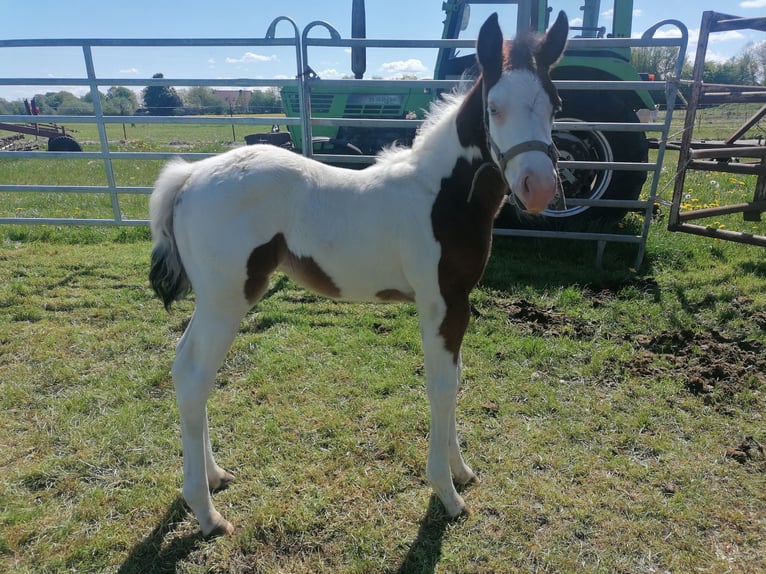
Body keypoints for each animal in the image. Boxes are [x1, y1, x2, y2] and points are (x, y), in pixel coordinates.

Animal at [149, 11, 568, 537]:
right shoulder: (440, 303)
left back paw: (214, 477)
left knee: (185, 367)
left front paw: (461, 472)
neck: (440, 196)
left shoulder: (458, 305)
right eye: (495, 108)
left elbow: (455, 378)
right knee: (194, 377)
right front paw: (447, 493)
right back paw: (206, 513)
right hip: (227, 300)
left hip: (212, 301)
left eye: (555, 103)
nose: (538, 187)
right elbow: (441, 387)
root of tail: (189, 178)